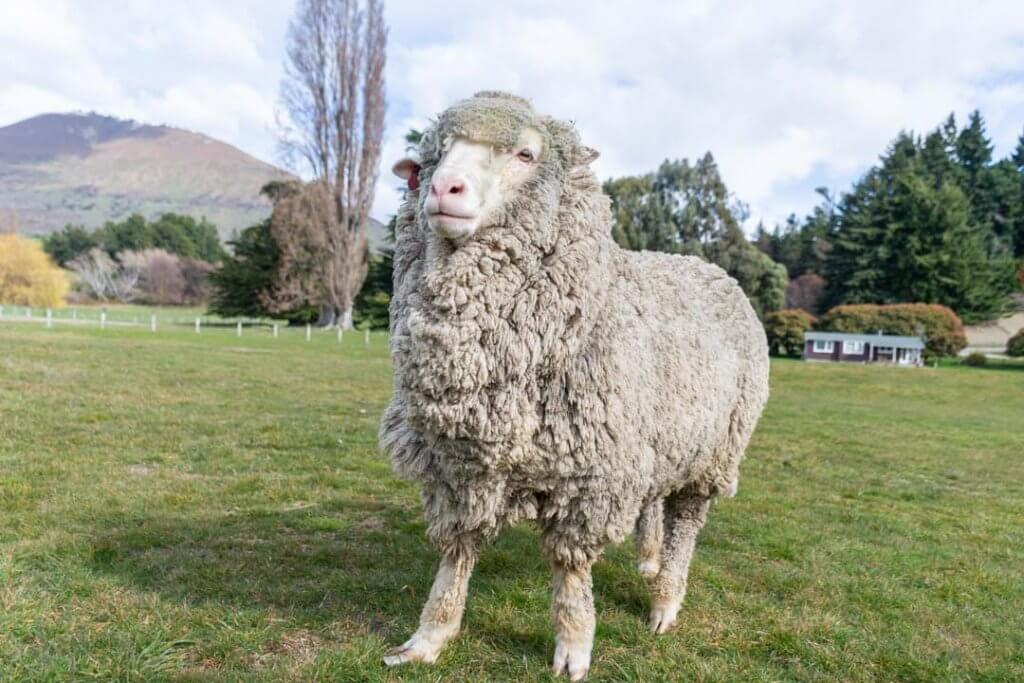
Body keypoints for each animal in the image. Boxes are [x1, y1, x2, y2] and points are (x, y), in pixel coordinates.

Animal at [380, 91, 769, 680]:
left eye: (526, 154)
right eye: (430, 159)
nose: (446, 189)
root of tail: (710, 267)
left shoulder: (593, 474)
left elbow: (570, 570)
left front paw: (574, 645)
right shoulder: (457, 468)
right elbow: (455, 556)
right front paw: (429, 637)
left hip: (715, 450)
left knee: (686, 521)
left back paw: (665, 598)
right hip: (659, 437)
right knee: (654, 503)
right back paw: (648, 560)